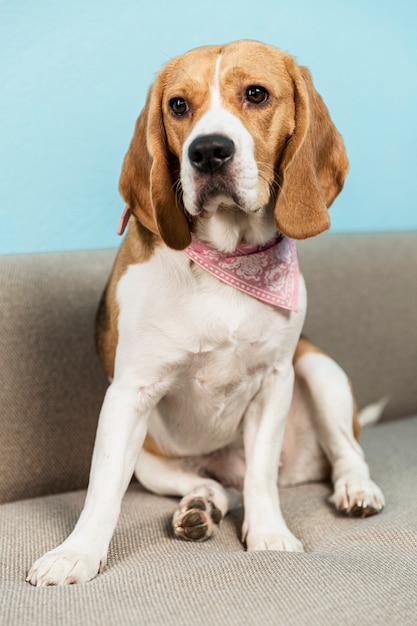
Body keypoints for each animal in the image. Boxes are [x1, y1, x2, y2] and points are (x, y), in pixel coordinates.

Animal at [26, 40, 384, 584]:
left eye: (256, 94)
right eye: (178, 105)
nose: (208, 150)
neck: (227, 262)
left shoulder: (275, 380)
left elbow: (261, 476)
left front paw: (269, 535)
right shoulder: (128, 395)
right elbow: (103, 487)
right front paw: (78, 553)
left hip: (317, 368)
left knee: (345, 451)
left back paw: (355, 488)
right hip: (151, 458)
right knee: (211, 485)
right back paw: (199, 505)